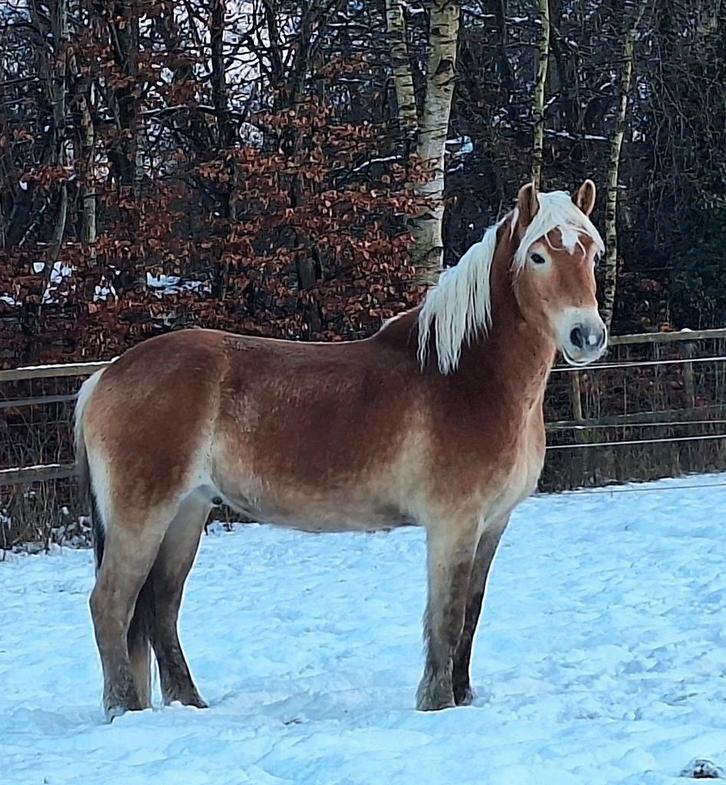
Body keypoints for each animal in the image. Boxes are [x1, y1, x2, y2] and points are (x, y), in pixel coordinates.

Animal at [74, 179, 606, 720]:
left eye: (593, 254)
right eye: (538, 256)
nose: (586, 336)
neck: (466, 377)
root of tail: (104, 377)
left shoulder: (493, 524)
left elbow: (471, 617)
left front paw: (463, 697)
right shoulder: (453, 524)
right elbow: (447, 617)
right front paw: (438, 704)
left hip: (187, 510)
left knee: (160, 607)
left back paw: (189, 704)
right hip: (145, 513)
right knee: (111, 603)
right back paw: (124, 709)